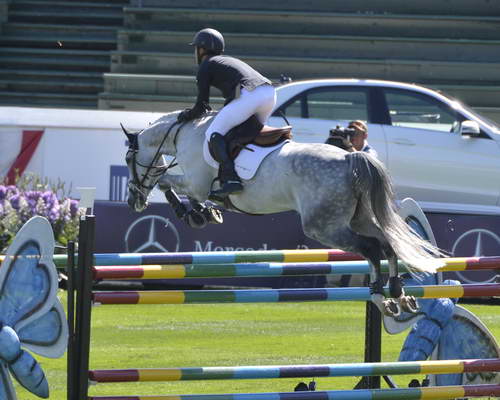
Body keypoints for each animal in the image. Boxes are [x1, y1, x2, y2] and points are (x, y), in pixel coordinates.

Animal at [123, 110, 444, 316]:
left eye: (128, 159)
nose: (132, 201)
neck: (186, 134)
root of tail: (350, 158)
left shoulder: (196, 183)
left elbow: (165, 182)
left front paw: (194, 213)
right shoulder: (198, 185)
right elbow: (174, 186)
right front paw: (205, 213)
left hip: (324, 226)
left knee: (371, 247)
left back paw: (379, 295)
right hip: (358, 218)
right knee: (387, 243)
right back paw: (398, 295)